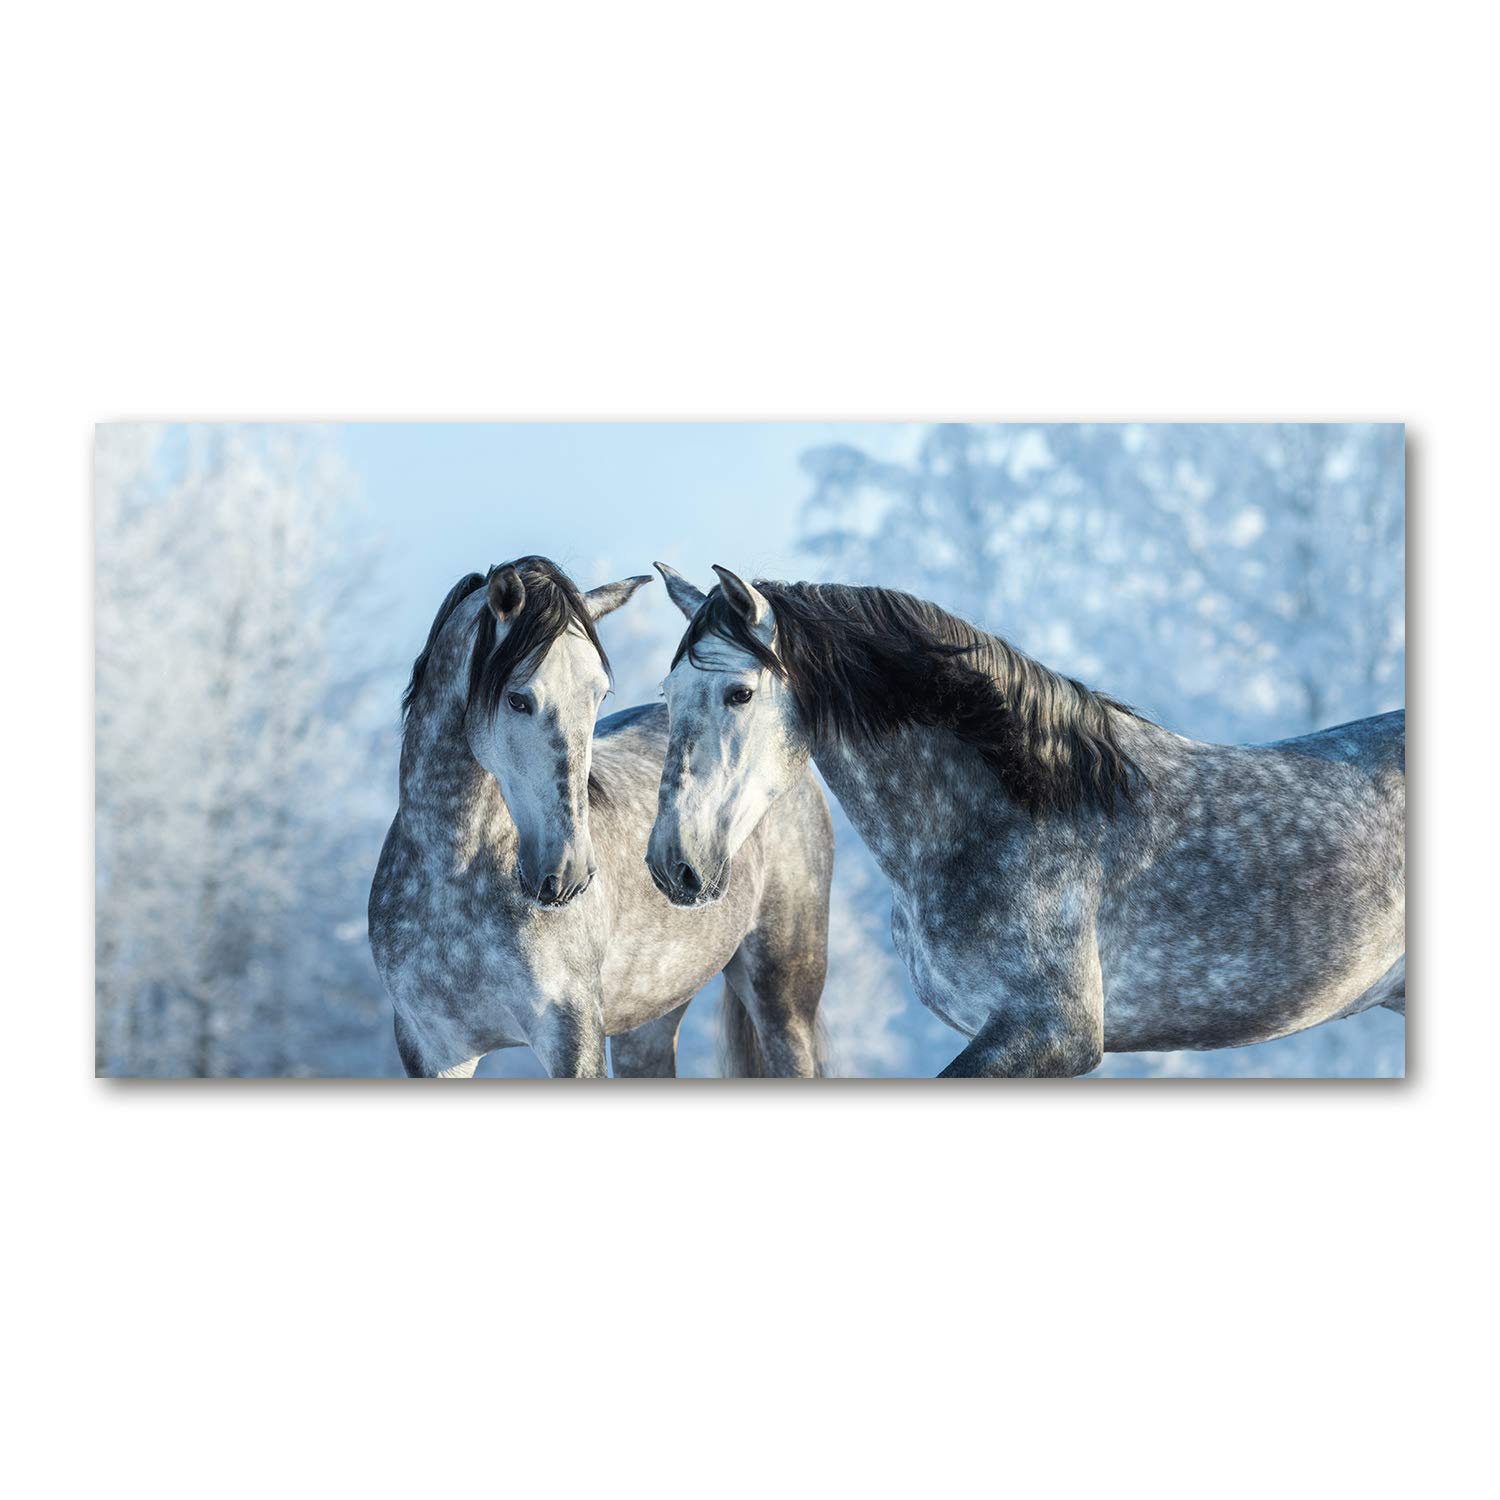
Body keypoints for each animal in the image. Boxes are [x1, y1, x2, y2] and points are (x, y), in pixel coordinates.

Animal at [368, 557, 832, 1078]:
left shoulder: (572, 1035)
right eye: (517, 698)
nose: (565, 872)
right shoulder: (432, 1049)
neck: (452, 877)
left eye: (599, 695)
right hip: (649, 1022)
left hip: (783, 996)